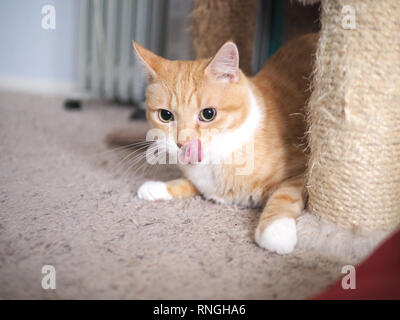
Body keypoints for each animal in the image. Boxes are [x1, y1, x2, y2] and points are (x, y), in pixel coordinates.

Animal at [133, 34, 318, 255]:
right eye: (165, 115)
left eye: (208, 114)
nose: (182, 143)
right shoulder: (202, 182)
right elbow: (189, 183)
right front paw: (158, 187)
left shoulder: (303, 170)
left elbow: (284, 196)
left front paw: (276, 231)